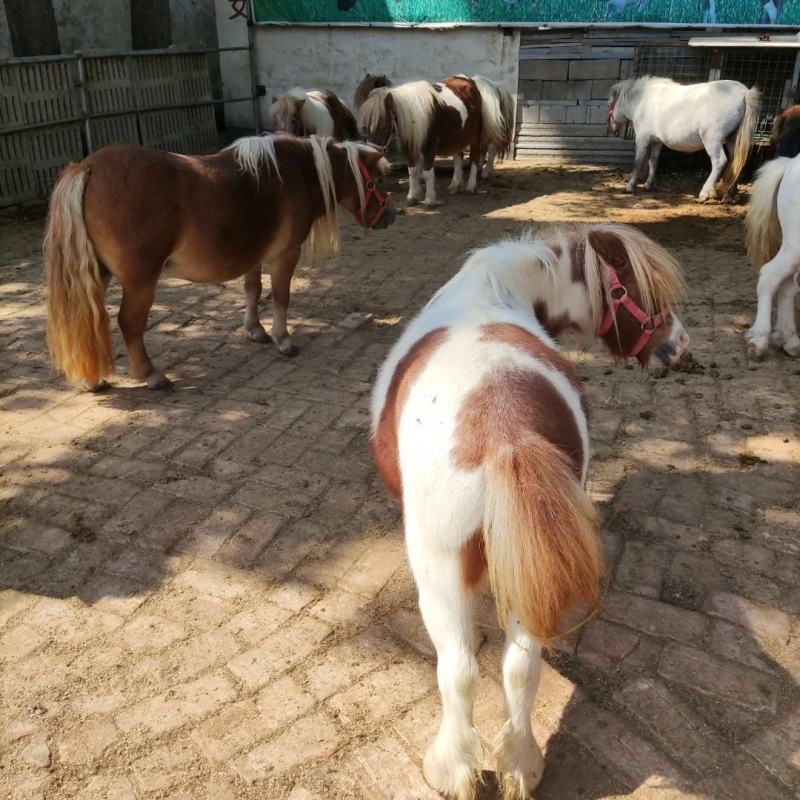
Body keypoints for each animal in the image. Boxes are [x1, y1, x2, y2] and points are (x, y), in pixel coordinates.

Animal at [45, 135, 395, 391]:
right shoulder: (285, 256)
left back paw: (92, 379)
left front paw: (256, 330)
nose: (390, 217)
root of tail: (87, 168)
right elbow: (281, 297)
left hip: (96, 274)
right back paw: (151, 375)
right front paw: (283, 340)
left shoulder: (254, 255)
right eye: (375, 179)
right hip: (140, 280)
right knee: (129, 323)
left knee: (86, 318)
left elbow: (253, 290)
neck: (296, 173)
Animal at [359, 76, 489, 207]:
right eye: (365, 126)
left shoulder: (429, 147)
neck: (415, 117)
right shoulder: (409, 146)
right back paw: (455, 185)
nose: (371, 155)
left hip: (475, 135)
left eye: (383, 126)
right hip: (457, 137)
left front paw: (430, 199)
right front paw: (412, 196)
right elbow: (413, 171)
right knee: (458, 156)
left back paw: (471, 186)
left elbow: (427, 173)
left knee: (475, 157)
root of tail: (468, 80)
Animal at [370, 223, 688, 800]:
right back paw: (521, 764)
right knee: (521, 666)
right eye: (641, 292)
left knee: (459, 668)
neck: (498, 287)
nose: (678, 346)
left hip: (437, 569)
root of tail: (505, 430)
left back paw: (452, 770)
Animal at [608, 77, 761, 202]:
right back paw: (730, 196)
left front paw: (630, 186)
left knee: (720, 161)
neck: (643, 99)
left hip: (712, 139)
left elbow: (638, 163)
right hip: (732, 139)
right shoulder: (657, 142)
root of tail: (744, 93)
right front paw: (649, 184)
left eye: (610, 105)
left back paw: (705, 193)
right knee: (736, 163)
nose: (611, 129)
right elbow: (653, 161)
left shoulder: (642, 139)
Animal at [744, 154, 800, 359]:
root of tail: (790, 163)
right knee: (770, 278)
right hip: (794, 247)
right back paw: (759, 340)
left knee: (788, 287)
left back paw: (790, 340)